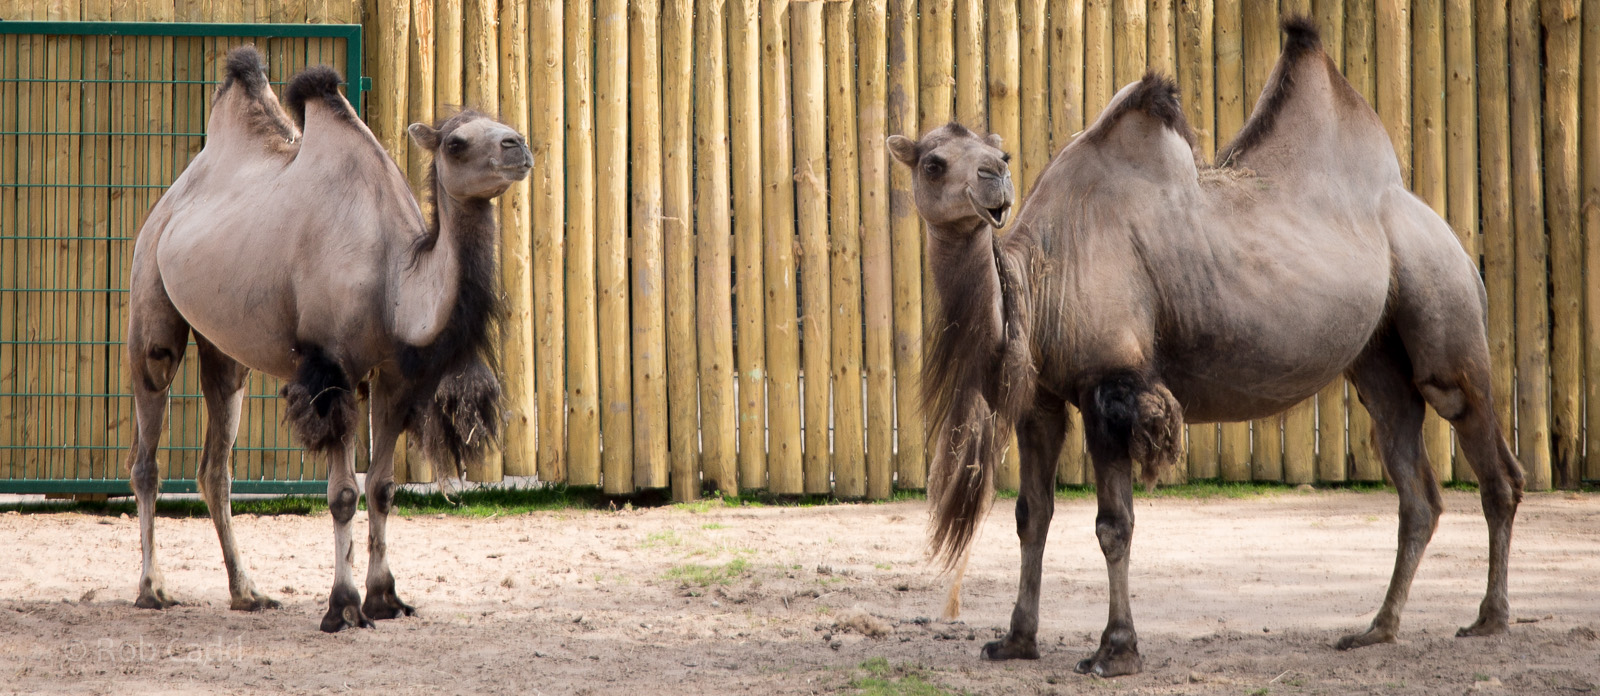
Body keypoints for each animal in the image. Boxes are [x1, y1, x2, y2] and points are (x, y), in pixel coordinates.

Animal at [123, 46, 529, 632]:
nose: (519, 145)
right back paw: (152, 589)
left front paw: (386, 599)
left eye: (502, 124)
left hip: (225, 349)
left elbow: (381, 490)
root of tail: (168, 203)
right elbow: (341, 495)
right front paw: (342, 606)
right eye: (456, 142)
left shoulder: (394, 377)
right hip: (149, 302)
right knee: (148, 454)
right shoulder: (330, 367)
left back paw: (247, 592)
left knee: (215, 468)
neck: (394, 280)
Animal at [889, 18, 1523, 677]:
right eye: (934, 162)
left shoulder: (1112, 385)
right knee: (1415, 486)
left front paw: (1115, 650)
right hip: (1376, 358)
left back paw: (1489, 618)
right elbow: (1030, 516)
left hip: (1445, 308)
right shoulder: (1043, 399)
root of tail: (1446, 231)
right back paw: (1377, 629)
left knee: (1489, 457)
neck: (1042, 276)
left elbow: (1113, 525)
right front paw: (1015, 641)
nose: (994, 180)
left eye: (1002, 155)